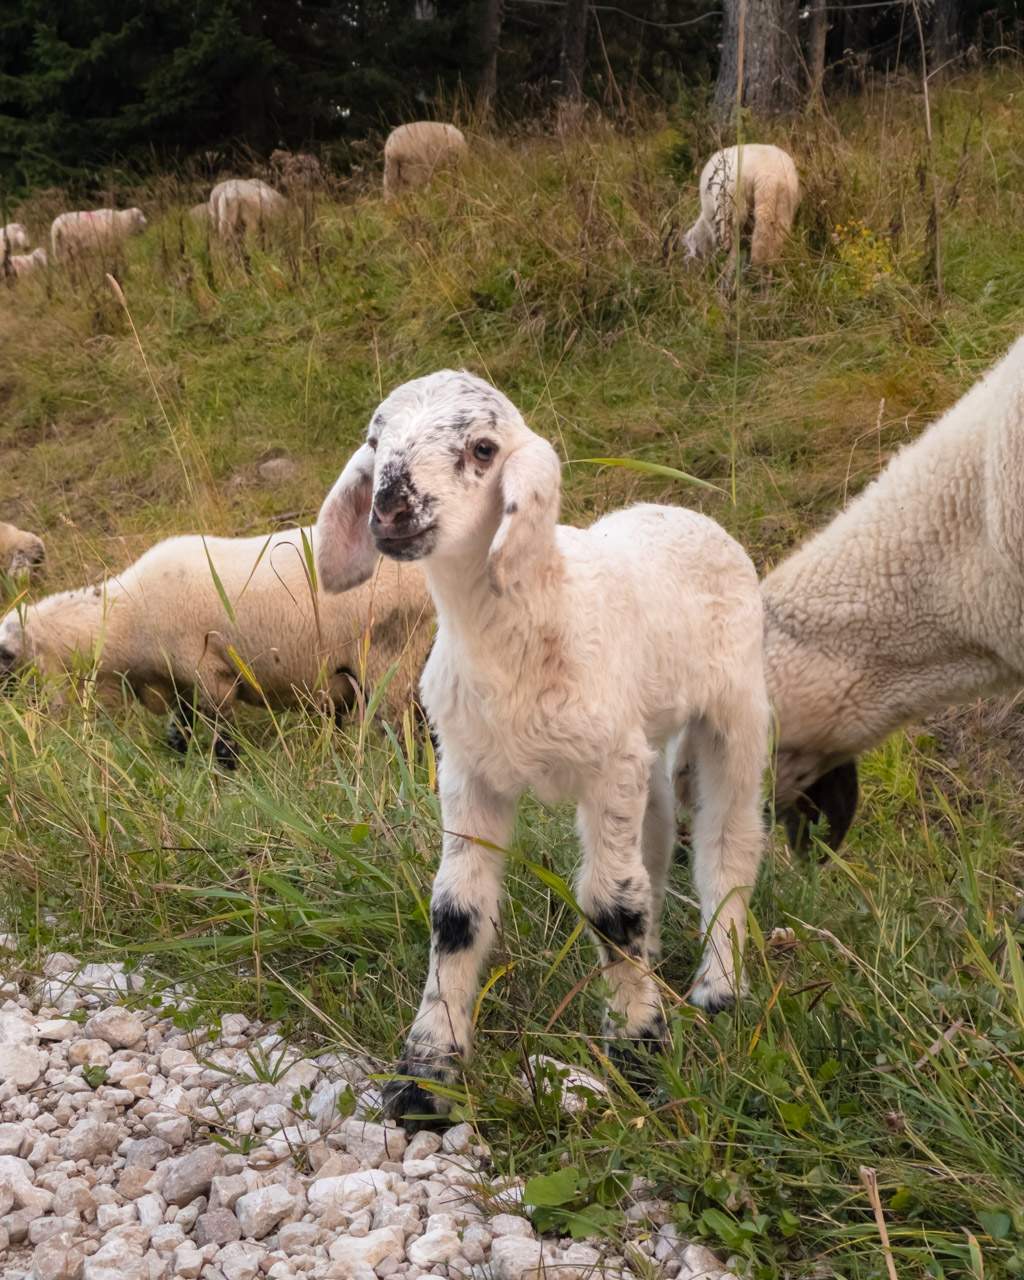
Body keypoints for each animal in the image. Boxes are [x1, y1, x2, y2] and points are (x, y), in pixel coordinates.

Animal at [0, 525, 433, 766]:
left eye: (5, 655)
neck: (125, 619)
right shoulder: (181, 683)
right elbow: (180, 729)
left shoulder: (210, 673)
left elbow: (221, 734)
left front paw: (230, 771)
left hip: (392, 653)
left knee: (408, 725)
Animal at [315, 369, 770, 1124]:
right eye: (376, 442)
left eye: (482, 447)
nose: (391, 507)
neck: (531, 616)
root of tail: (680, 509)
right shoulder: (468, 768)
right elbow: (456, 912)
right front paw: (426, 1073)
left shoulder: (605, 766)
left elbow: (612, 906)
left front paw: (639, 1052)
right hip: (640, 739)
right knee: (654, 840)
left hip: (735, 711)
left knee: (726, 846)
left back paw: (719, 987)